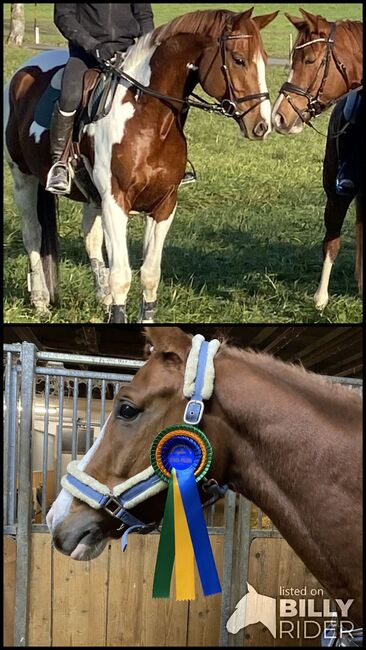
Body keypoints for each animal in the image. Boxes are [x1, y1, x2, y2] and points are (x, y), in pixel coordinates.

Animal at [3, 8, 278, 322]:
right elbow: (121, 276)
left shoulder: (164, 205)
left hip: (92, 196)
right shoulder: (116, 201)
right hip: (23, 179)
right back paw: (39, 300)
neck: (148, 118)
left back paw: (102, 299)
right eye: (238, 59)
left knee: (91, 238)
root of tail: (22, 72)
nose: (262, 125)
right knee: (33, 234)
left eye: (264, 59)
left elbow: (150, 274)